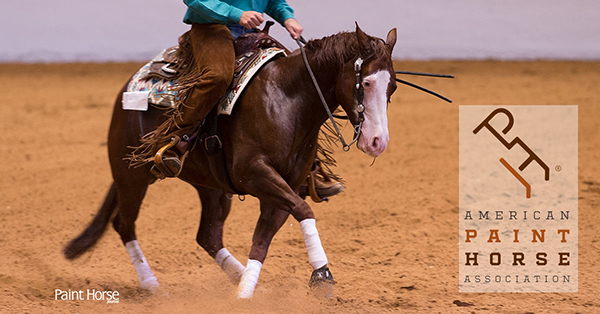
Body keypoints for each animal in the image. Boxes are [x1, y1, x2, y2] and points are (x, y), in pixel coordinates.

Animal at [64, 23, 398, 298]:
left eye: (392, 86)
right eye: (367, 83)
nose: (378, 142)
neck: (288, 101)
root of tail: (129, 87)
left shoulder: (286, 186)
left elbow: (263, 238)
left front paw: (245, 294)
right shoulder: (254, 173)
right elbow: (303, 211)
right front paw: (322, 275)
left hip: (211, 187)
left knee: (208, 235)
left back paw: (239, 280)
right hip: (130, 174)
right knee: (124, 224)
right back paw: (152, 285)